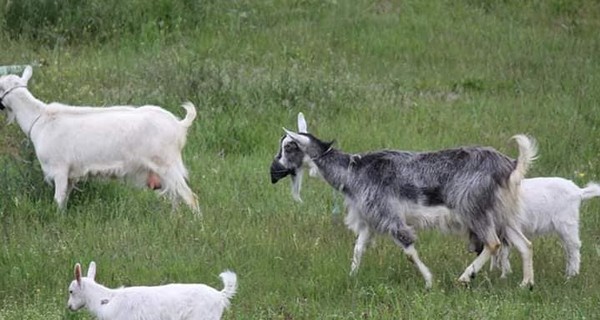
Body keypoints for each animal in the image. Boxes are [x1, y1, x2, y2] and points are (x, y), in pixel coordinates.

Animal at [0, 65, 202, 211]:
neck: (40, 118)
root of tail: (179, 125)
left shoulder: (59, 169)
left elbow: (58, 200)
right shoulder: (70, 175)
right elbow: (64, 200)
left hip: (167, 164)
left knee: (190, 197)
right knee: (176, 197)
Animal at [270, 114, 536, 288]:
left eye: (289, 146)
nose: (273, 172)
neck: (353, 171)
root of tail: (510, 165)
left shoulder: (388, 215)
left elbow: (408, 249)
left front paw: (429, 282)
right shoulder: (370, 220)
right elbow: (358, 248)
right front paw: (352, 277)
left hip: (474, 210)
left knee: (493, 243)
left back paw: (465, 277)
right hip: (502, 213)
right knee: (525, 244)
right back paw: (526, 284)